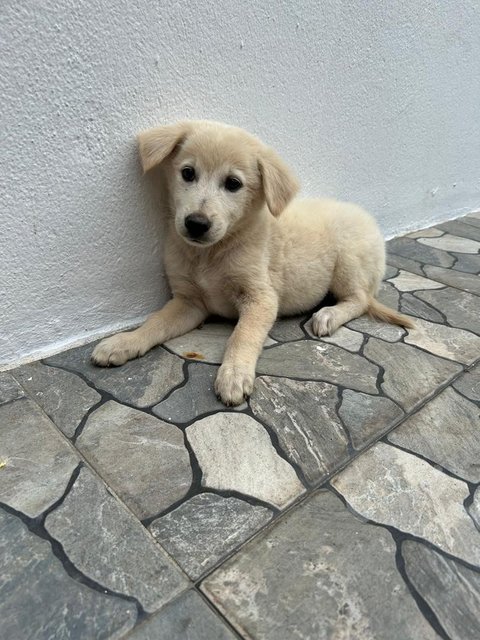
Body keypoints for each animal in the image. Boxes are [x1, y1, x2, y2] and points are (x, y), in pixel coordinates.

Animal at [91, 120, 412, 404]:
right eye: (188, 173)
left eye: (233, 184)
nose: (196, 224)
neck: (212, 253)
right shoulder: (189, 302)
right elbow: (155, 323)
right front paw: (124, 342)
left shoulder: (261, 298)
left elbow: (242, 336)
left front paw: (233, 375)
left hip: (348, 260)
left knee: (359, 299)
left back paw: (329, 315)